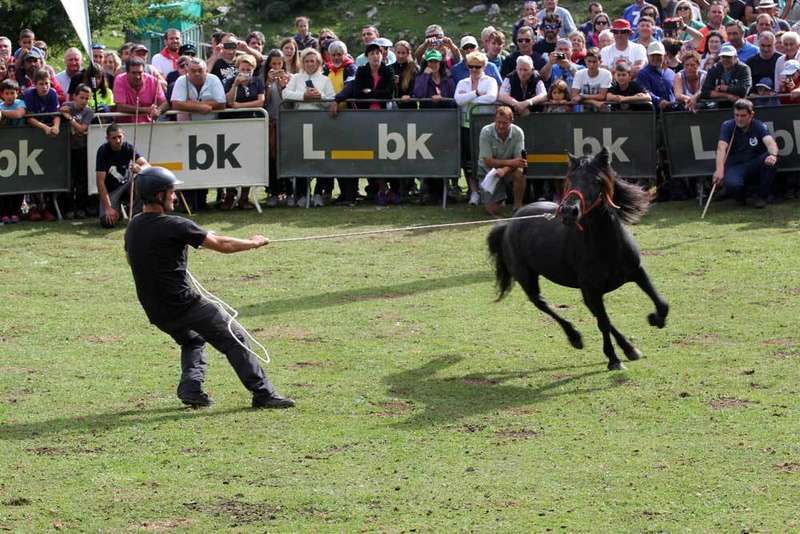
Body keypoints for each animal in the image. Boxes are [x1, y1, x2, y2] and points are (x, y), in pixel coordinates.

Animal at [486, 148, 669, 371]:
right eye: (570, 179)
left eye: (596, 180)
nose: (568, 211)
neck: (606, 245)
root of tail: (510, 223)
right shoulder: (592, 290)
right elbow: (603, 323)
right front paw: (613, 359)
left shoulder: (637, 272)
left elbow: (661, 303)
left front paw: (655, 320)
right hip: (527, 278)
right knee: (541, 303)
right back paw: (575, 337)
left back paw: (629, 349)